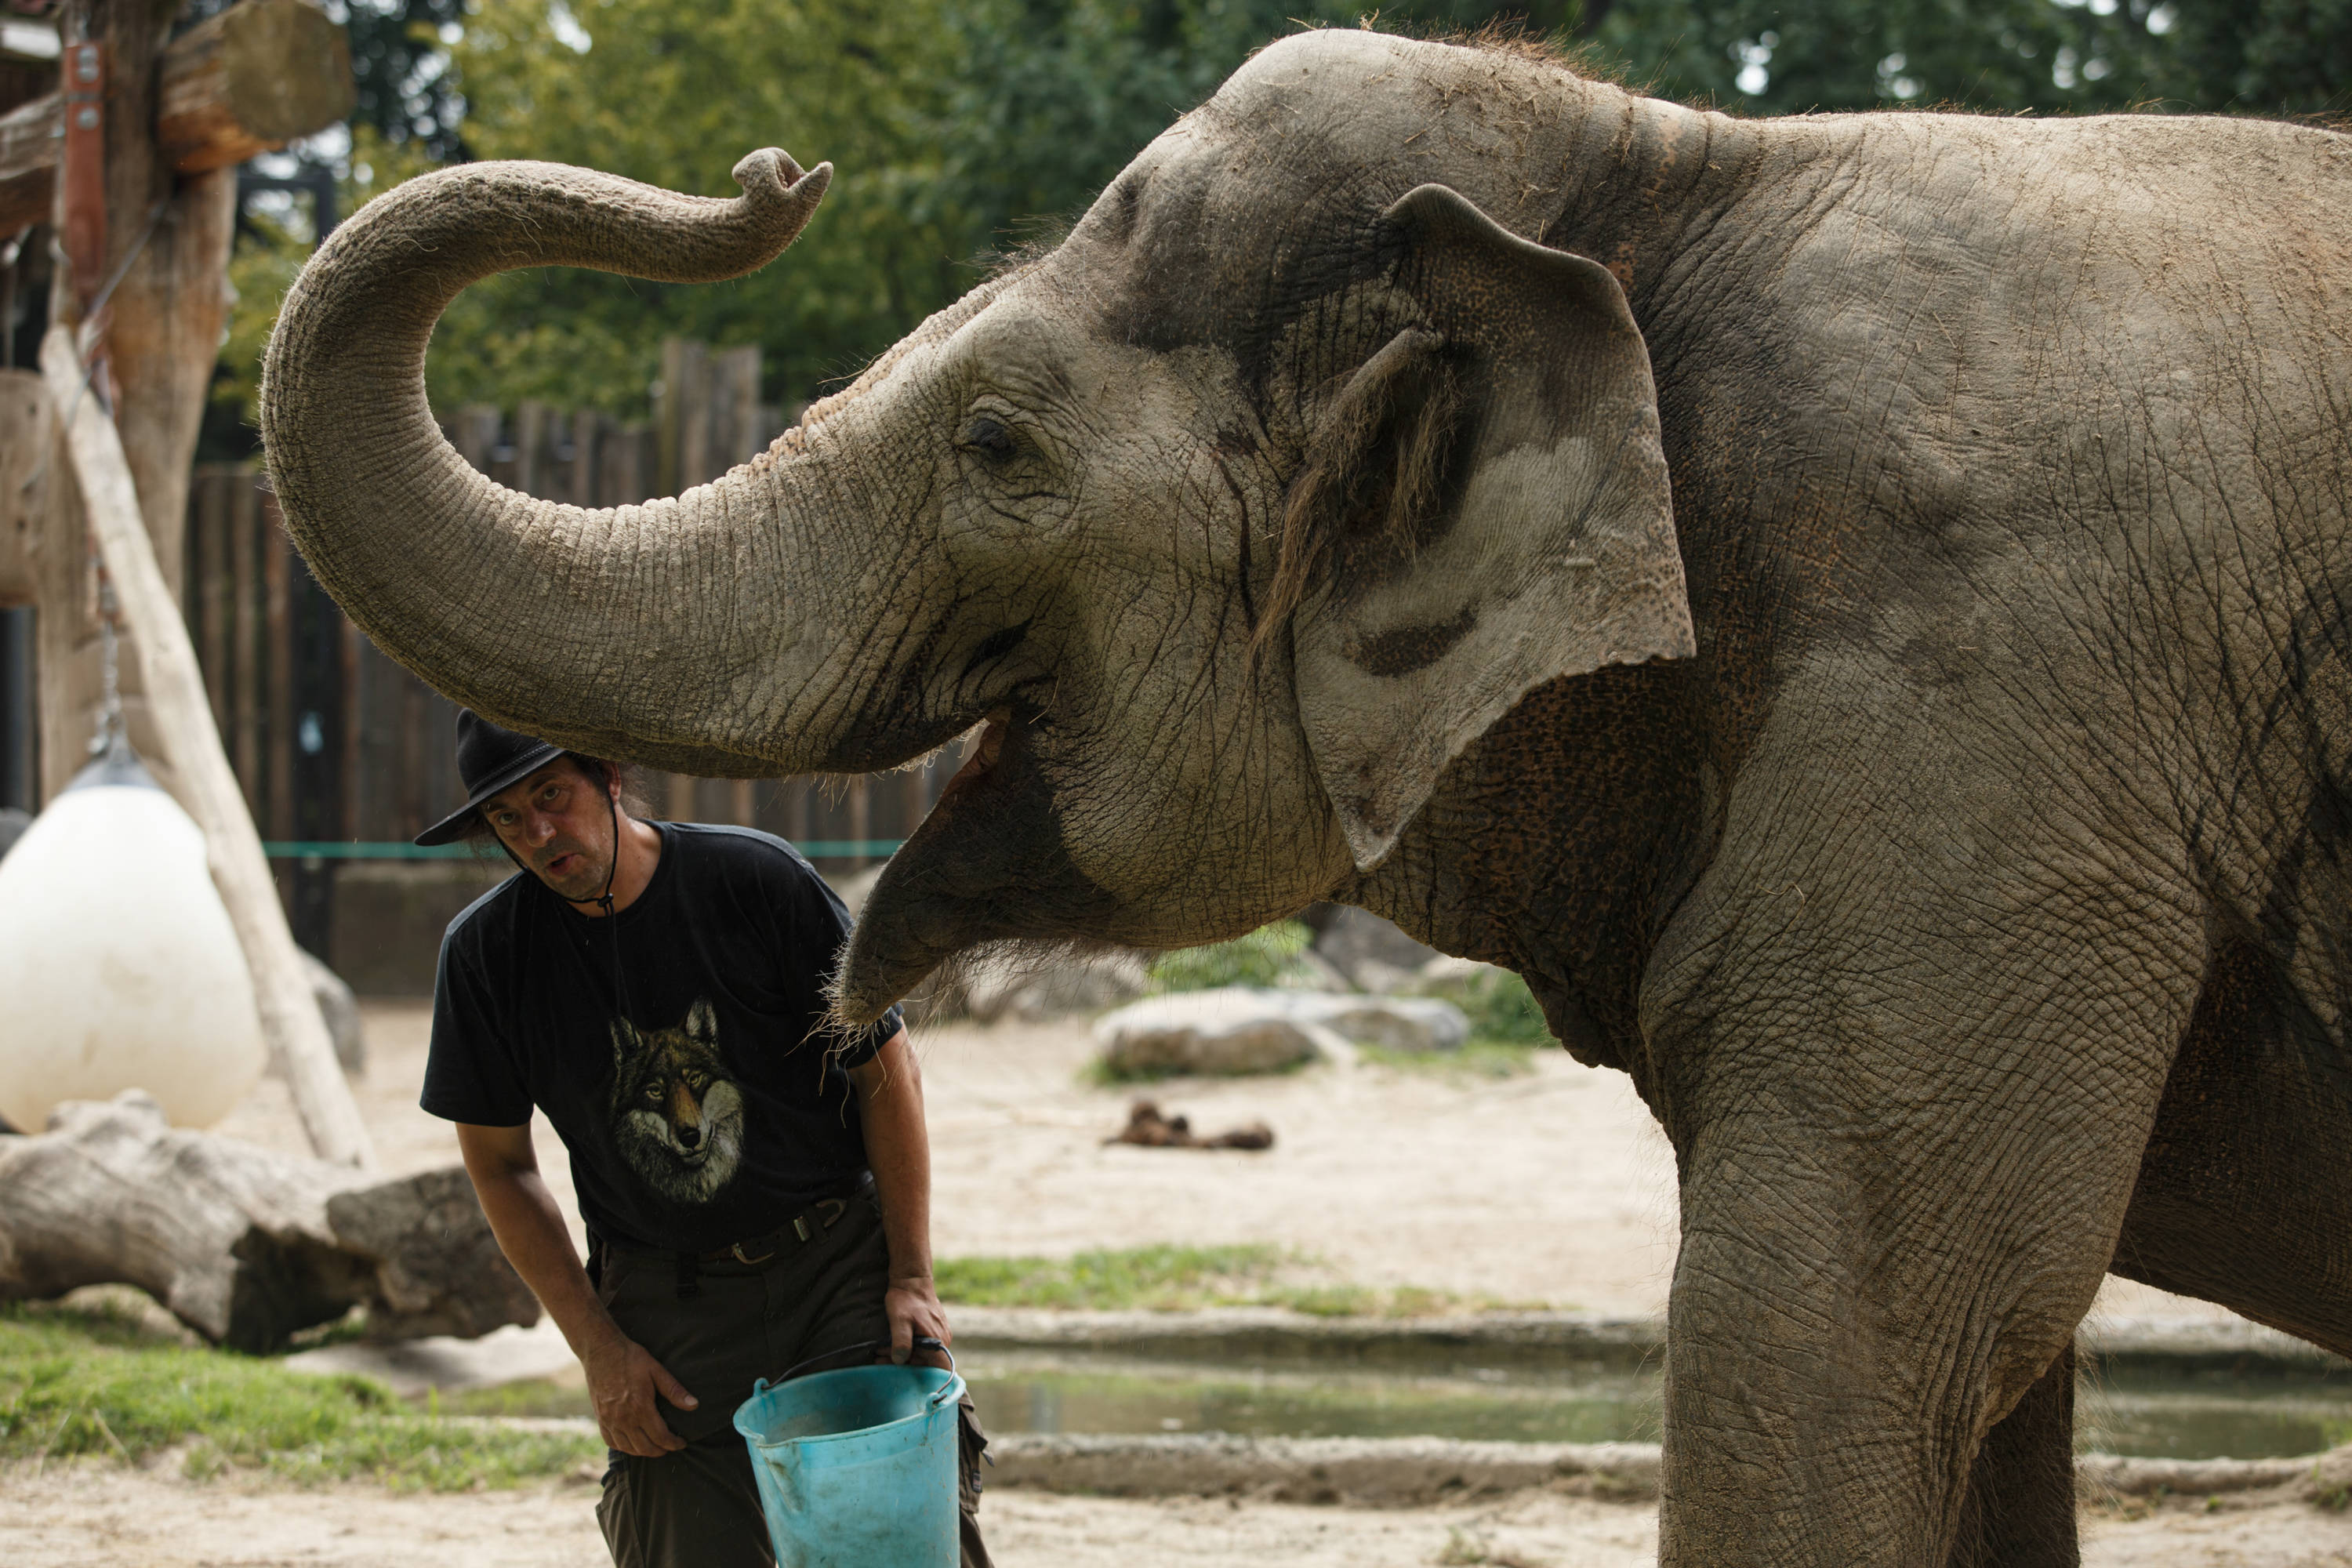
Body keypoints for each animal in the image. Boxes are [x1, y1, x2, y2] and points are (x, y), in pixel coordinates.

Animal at [262, 24, 2352, 1568]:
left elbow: (1871, 1316)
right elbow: (1994, 1370)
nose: (780, 179)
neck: (1675, 168)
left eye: (996, 442)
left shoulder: (1976, 709)